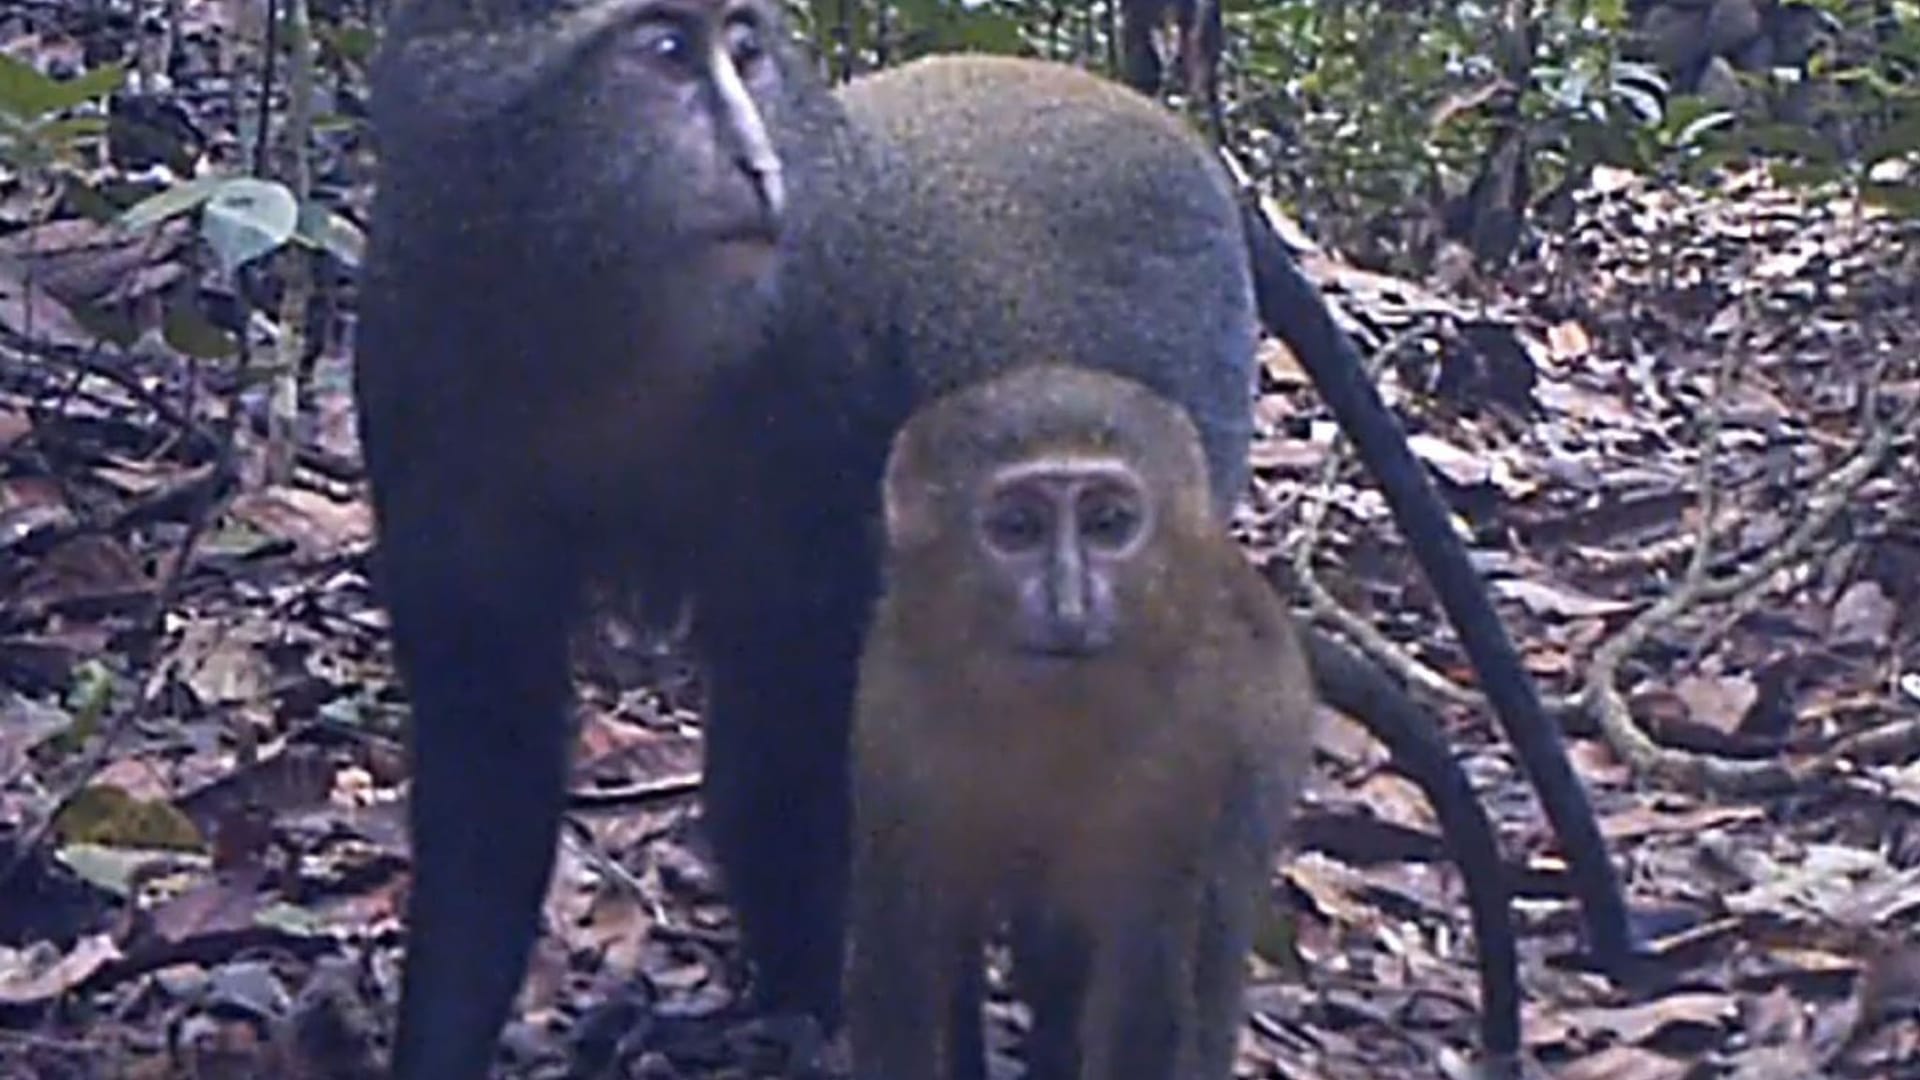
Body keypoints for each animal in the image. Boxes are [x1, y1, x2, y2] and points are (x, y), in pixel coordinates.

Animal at [852, 363, 1320, 1076]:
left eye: (1108, 523)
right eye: (1018, 527)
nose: (1069, 604)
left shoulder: (1195, 753)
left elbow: (1146, 984)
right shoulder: (891, 720)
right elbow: (903, 954)